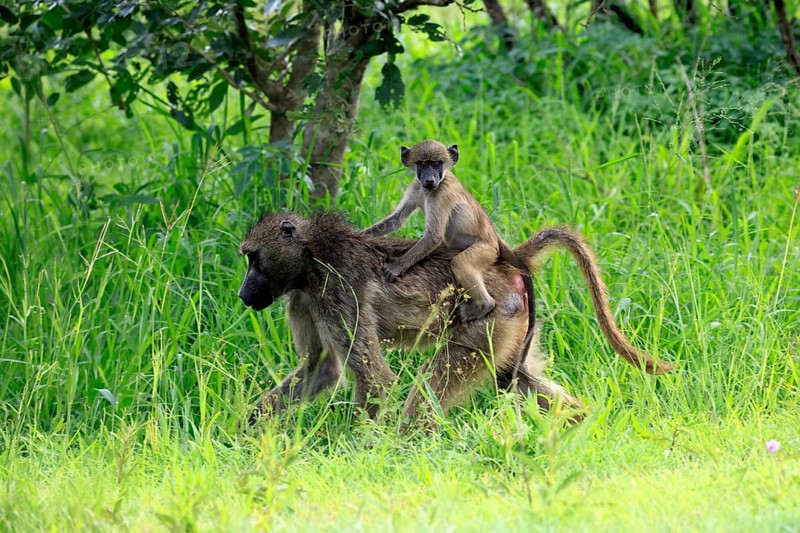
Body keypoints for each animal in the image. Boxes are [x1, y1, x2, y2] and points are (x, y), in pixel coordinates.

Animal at [238, 211, 673, 427]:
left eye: (253, 258)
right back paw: (585, 424)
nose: (244, 294)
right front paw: (246, 430)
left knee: (431, 391)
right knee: (516, 379)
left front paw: (353, 455)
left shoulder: (337, 291)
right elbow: (321, 368)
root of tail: (506, 261)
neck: (311, 259)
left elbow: (375, 378)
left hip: (489, 323)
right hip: (515, 328)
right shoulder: (303, 299)